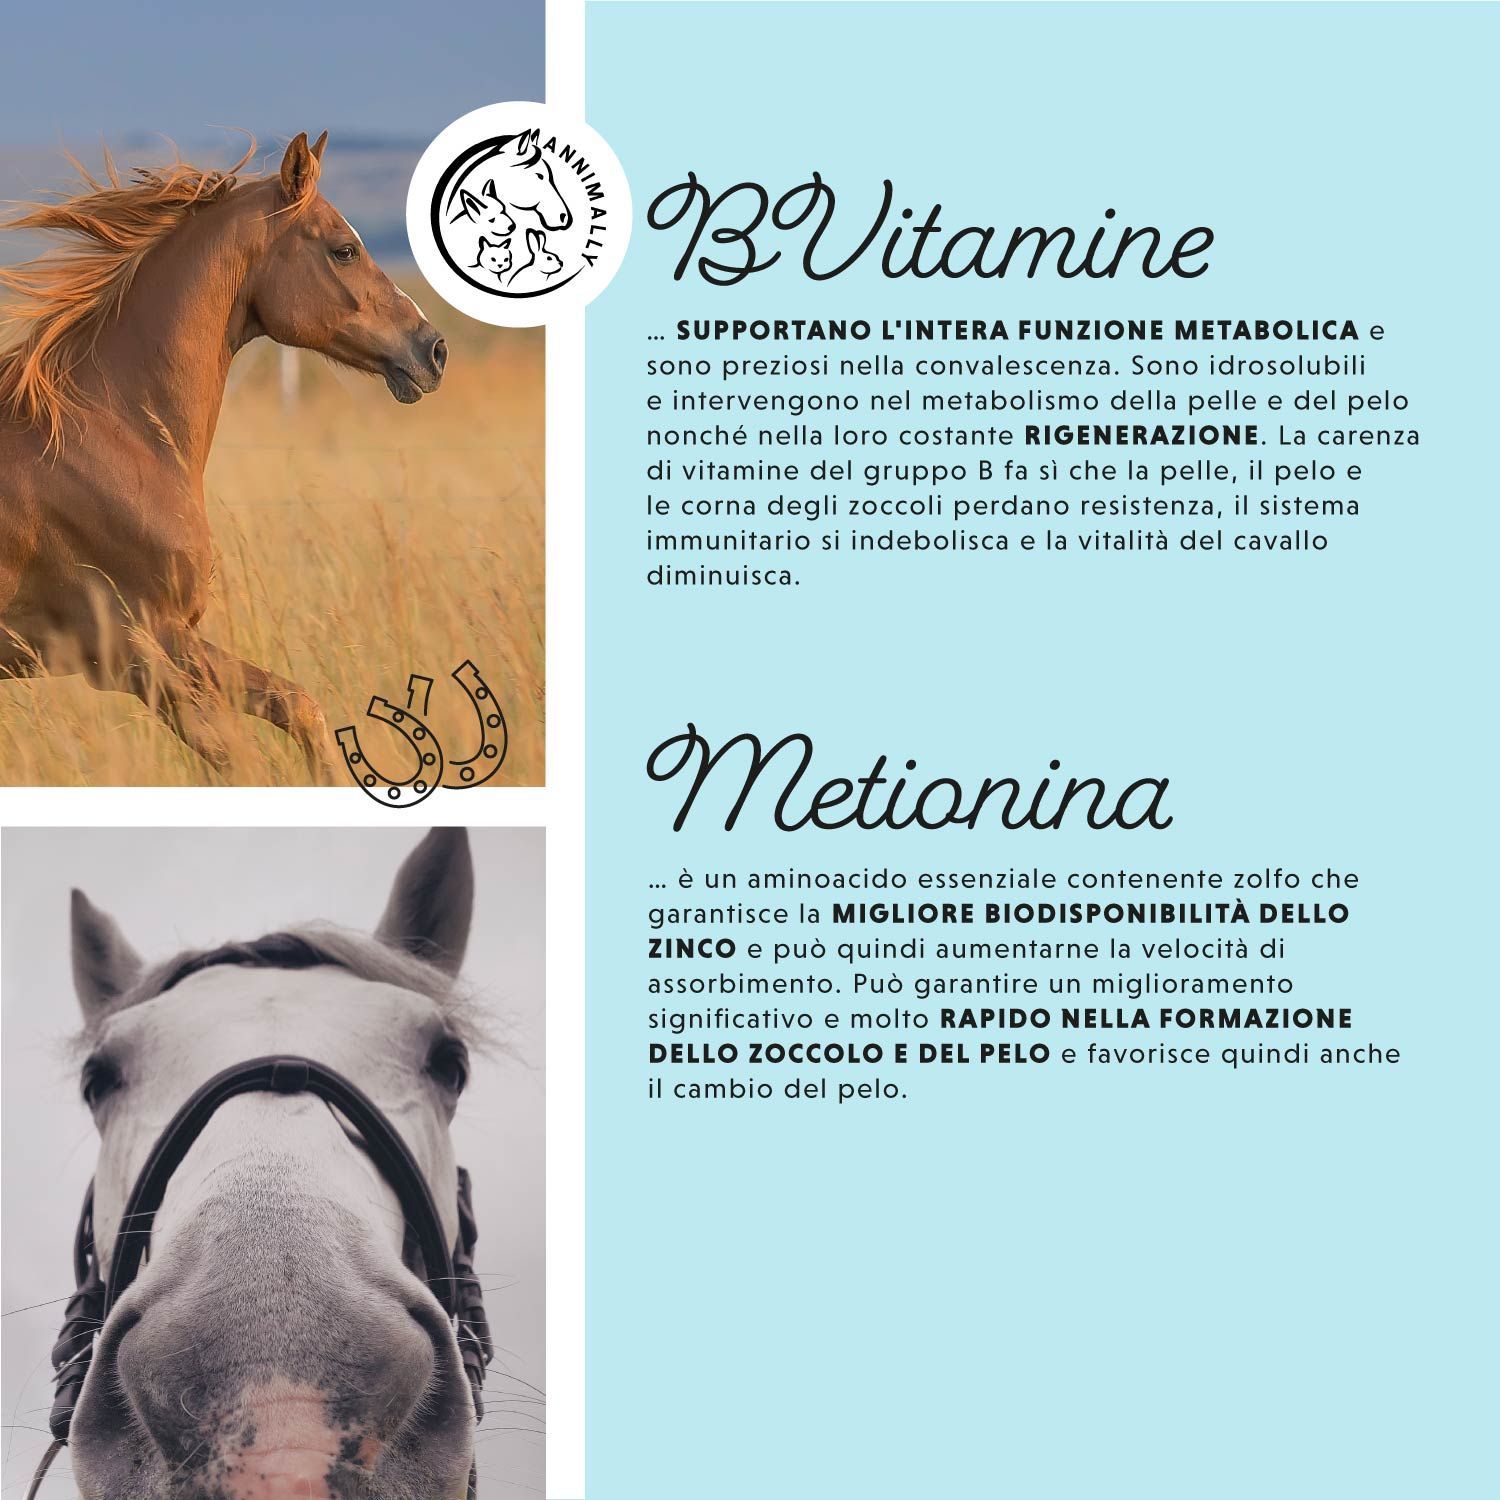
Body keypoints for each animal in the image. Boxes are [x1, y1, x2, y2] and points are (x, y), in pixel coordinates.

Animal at [0, 133, 447, 782]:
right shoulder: (134, 650)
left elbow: (298, 706)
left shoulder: (173, 641)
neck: (110, 433)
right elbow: (243, 760)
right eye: (343, 249)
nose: (433, 349)